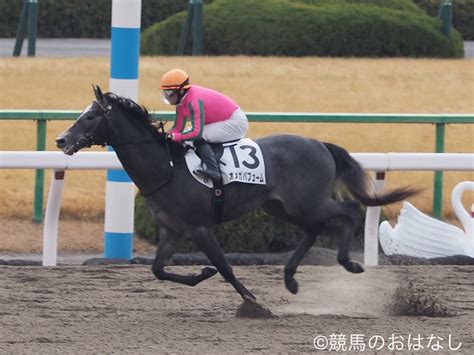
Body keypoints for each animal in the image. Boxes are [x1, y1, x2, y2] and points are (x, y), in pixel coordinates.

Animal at [56, 85, 418, 300]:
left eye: (90, 116)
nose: (61, 140)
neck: (166, 167)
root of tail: (319, 144)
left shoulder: (200, 227)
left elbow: (226, 266)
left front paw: (251, 301)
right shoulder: (173, 230)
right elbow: (158, 270)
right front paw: (202, 274)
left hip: (307, 202)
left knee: (348, 212)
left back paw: (349, 263)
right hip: (282, 207)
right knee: (315, 228)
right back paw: (290, 278)